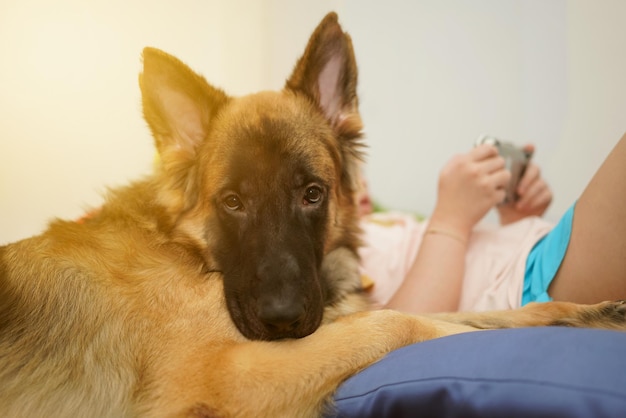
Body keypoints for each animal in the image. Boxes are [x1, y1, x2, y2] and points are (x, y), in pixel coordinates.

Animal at [1, 11, 624, 416]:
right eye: (232, 202)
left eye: (312, 194)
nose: (281, 319)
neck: (182, 247)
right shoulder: (230, 376)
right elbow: (404, 323)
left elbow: (456, 317)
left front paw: (581, 313)